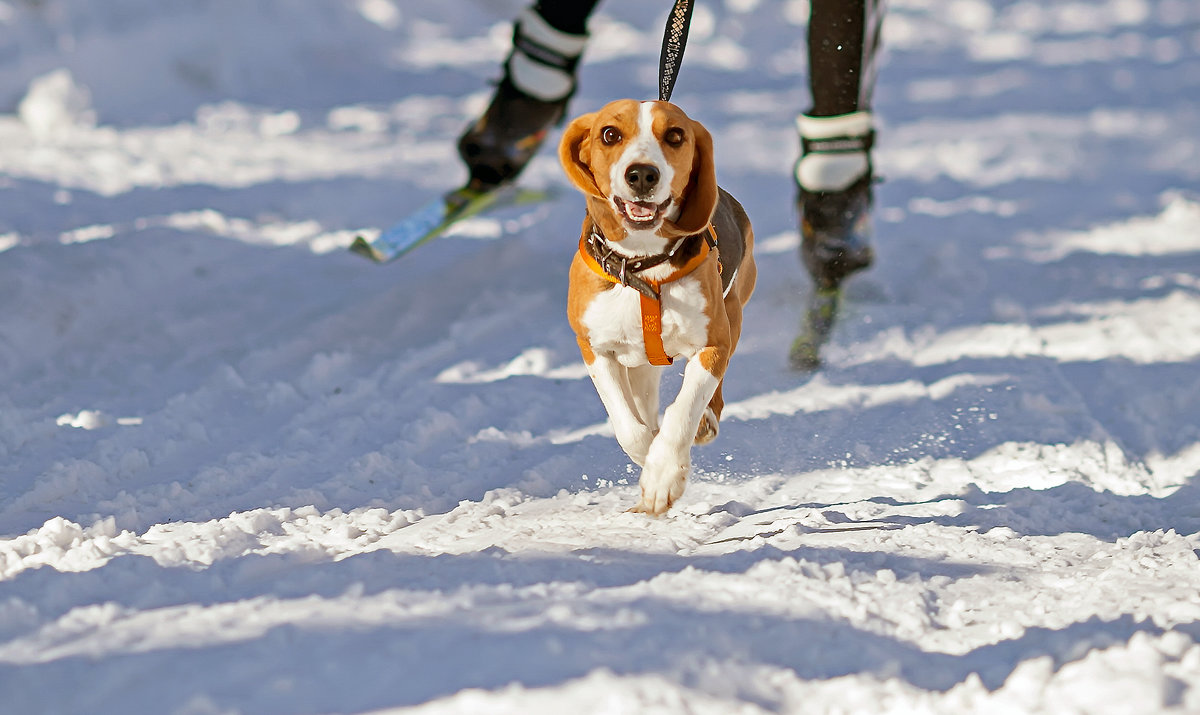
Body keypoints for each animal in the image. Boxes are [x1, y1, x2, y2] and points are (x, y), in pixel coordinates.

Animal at [559, 98, 748, 513]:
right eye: (609, 134)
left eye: (675, 136)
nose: (642, 174)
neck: (643, 264)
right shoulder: (594, 347)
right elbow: (630, 427)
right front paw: (649, 459)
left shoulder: (713, 344)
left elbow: (685, 408)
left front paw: (663, 474)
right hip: (641, 362)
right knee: (642, 405)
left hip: (733, 316)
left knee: (711, 394)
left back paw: (706, 423)